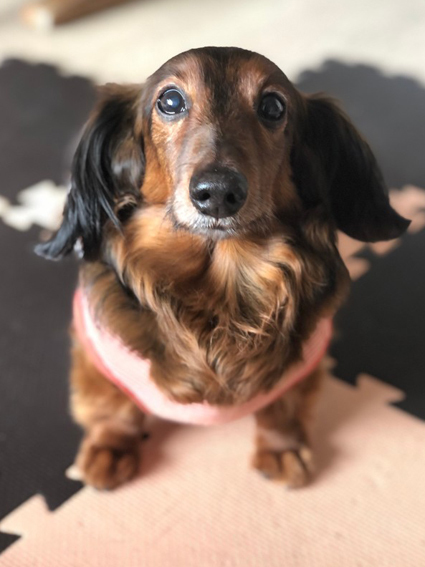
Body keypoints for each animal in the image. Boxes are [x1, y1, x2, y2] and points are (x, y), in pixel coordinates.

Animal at [37, 47, 409, 490]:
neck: (221, 283)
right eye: (170, 101)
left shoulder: (305, 361)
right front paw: (110, 447)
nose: (217, 192)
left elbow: (283, 407)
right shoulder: (95, 351)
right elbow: (116, 407)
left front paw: (282, 448)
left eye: (273, 106)